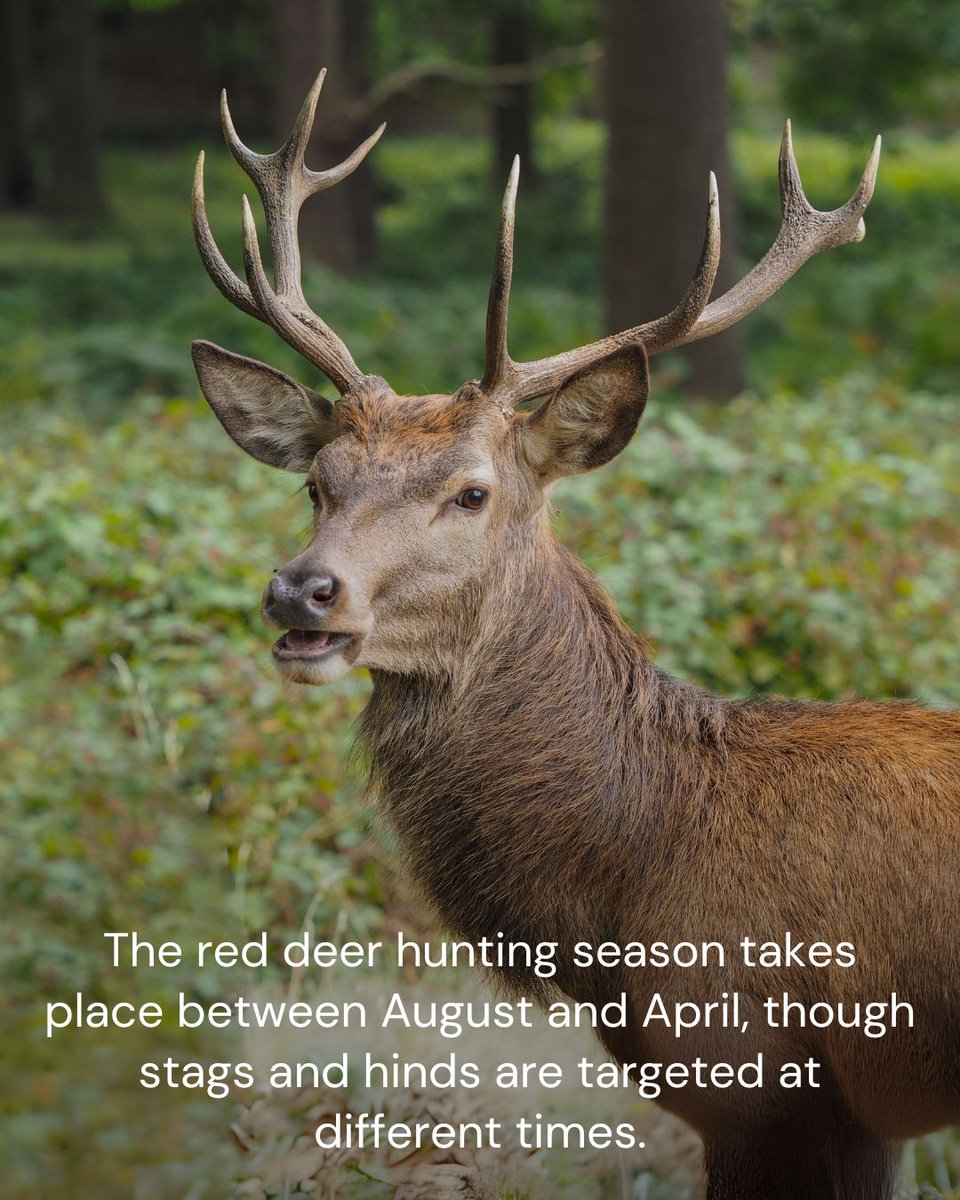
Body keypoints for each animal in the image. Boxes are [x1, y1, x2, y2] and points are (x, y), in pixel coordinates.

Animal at [190, 71, 960, 1200]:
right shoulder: (862, 1115)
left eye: (472, 491)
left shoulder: (757, 1081)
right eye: (317, 482)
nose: (302, 590)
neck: (640, 869)